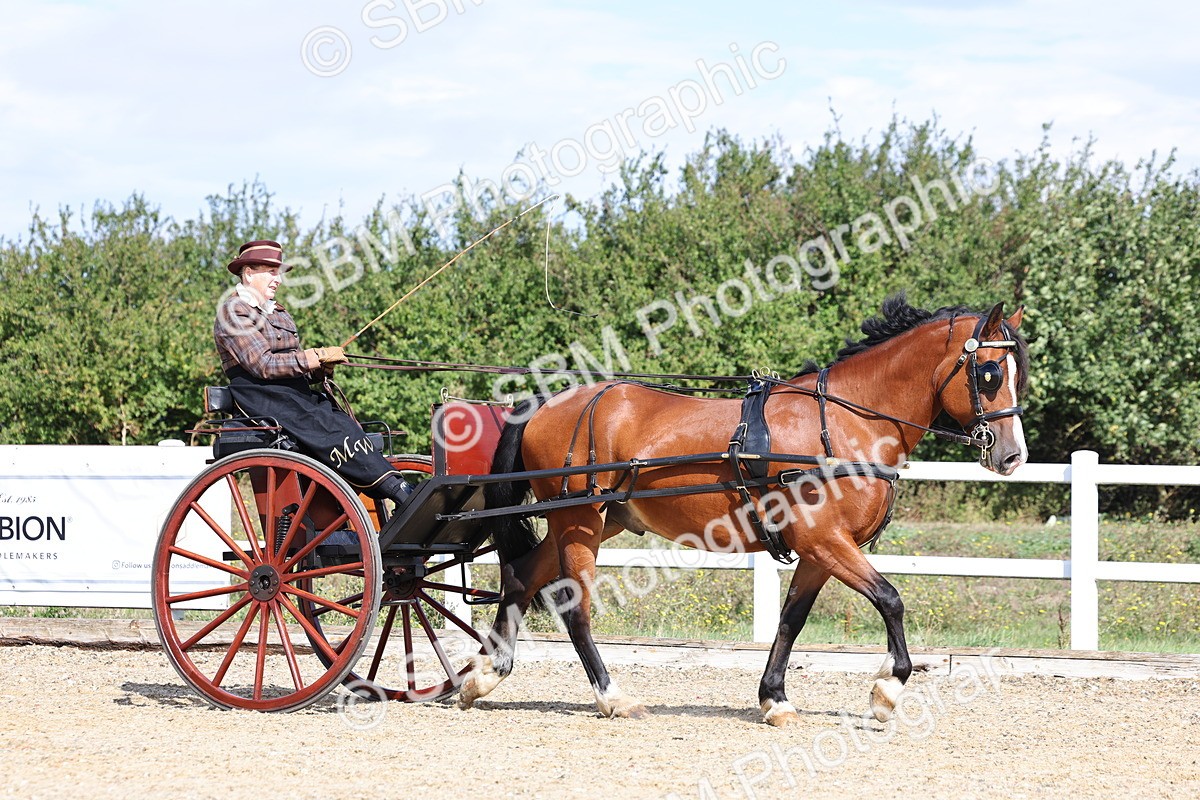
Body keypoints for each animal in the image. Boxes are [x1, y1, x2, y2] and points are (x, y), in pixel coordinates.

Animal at [458, 295, 1028, 725]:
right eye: (990, 372)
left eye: (1018, 372)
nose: (1011, 455)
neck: (846, 424)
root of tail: (548, 403)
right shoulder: (824, 540)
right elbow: (891, 600)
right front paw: (886, 691)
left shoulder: (819, 551)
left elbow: (791, 620)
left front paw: (775, 699)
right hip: (578, 520)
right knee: (574, 607)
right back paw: (612, 697)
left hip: (587, 520)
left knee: (521, 576)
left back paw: (485, 674)